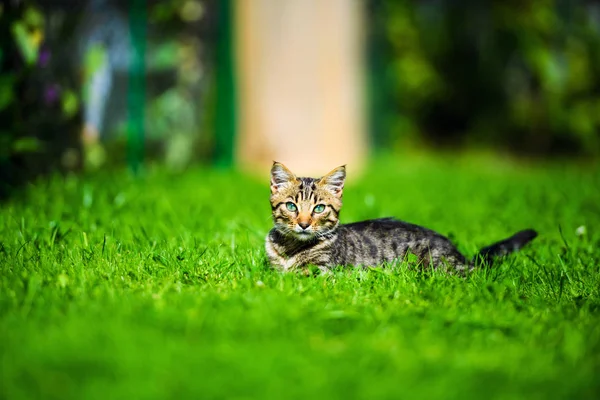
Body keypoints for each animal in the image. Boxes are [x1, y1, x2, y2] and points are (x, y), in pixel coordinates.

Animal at [264, 161, 536, 274]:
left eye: (319, 208)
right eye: (291, 206)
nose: (304, 224)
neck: (291, 248)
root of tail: (459, 254)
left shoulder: (324, 272)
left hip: (437, 266)